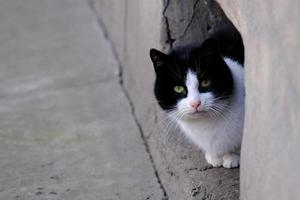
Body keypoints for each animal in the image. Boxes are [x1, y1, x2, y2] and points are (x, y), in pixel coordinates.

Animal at [149, 25, 245, 169]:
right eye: (178, 88)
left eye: (205, 82)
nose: (195, 103)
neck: (206, 124)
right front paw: (214, 156)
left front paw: (232, 156)